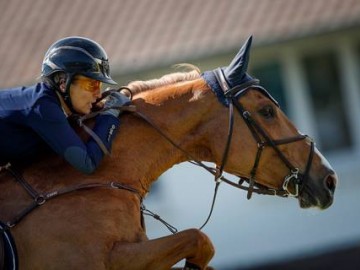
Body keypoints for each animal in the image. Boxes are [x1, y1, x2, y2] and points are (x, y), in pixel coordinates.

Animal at [0, 36, 338, 270]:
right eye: (267, 111)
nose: (330, 180)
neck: (105, 177)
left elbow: (198, 242)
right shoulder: (101, 259)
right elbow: (198, 238)